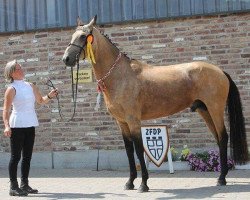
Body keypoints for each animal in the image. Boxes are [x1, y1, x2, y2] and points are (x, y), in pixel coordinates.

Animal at [62, 16, 248, 192]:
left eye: (83, 36)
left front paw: (143, 184)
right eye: (72, 35)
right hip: (205, 110)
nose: (66, 59)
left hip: (215, 109)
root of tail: (220, 71)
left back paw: (222, 178)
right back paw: (221, 177)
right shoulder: (122, 122)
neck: (121, 75)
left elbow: (139, 149)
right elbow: (129, 151)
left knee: (223, 137)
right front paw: (130, 182)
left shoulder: (133, 120)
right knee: (218, 138)